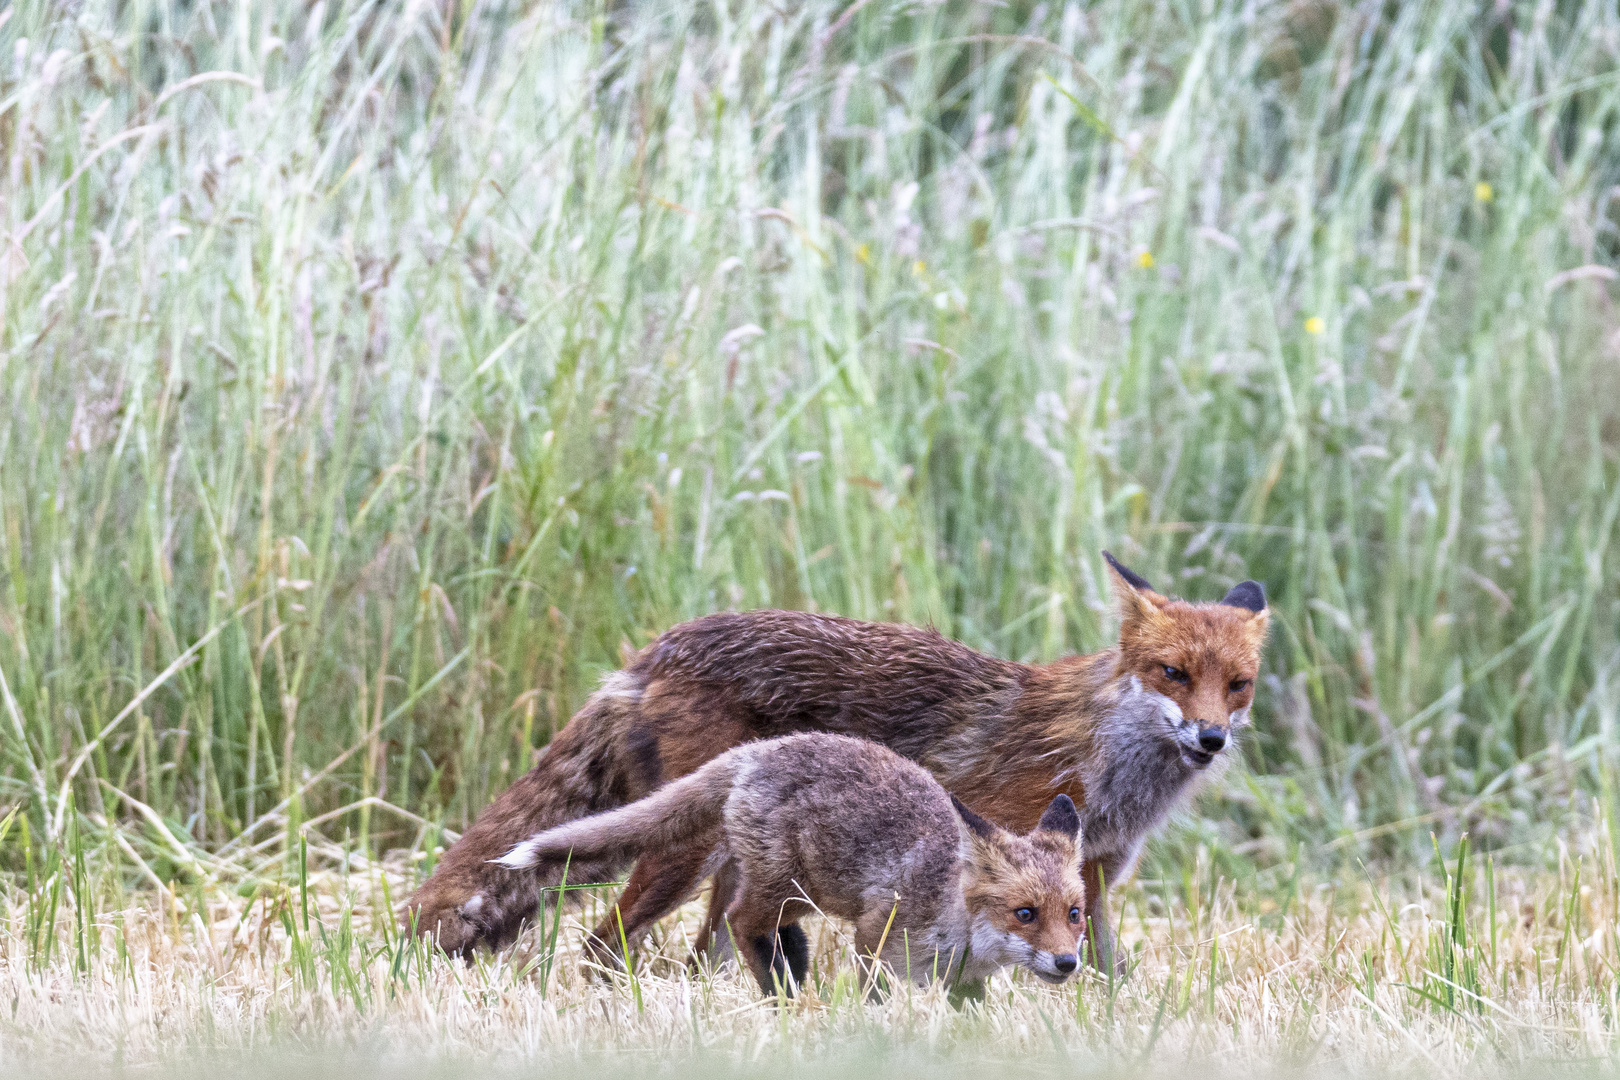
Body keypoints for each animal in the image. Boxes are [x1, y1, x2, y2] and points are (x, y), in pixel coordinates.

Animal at [408, 553, 1263, 965]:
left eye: (1238, 685)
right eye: (1172, 673)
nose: (1211, 739)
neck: (1108, 766)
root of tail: (659, 645)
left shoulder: (1096, 877)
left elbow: (1104, 968)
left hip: (741, 862)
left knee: (704, 953)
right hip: (688, 850)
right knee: (605, 945)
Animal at [498, 735, 1082, 997]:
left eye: (1074, 914)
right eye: (1025, 913)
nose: (1068, 964)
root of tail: (757, 749)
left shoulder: (964, 983)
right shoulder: (877, 934)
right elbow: (875, 992)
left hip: (804, 895)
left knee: (769, 931)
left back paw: (790, 975)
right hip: (781, 883)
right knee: (739, 920)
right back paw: (784, 994)